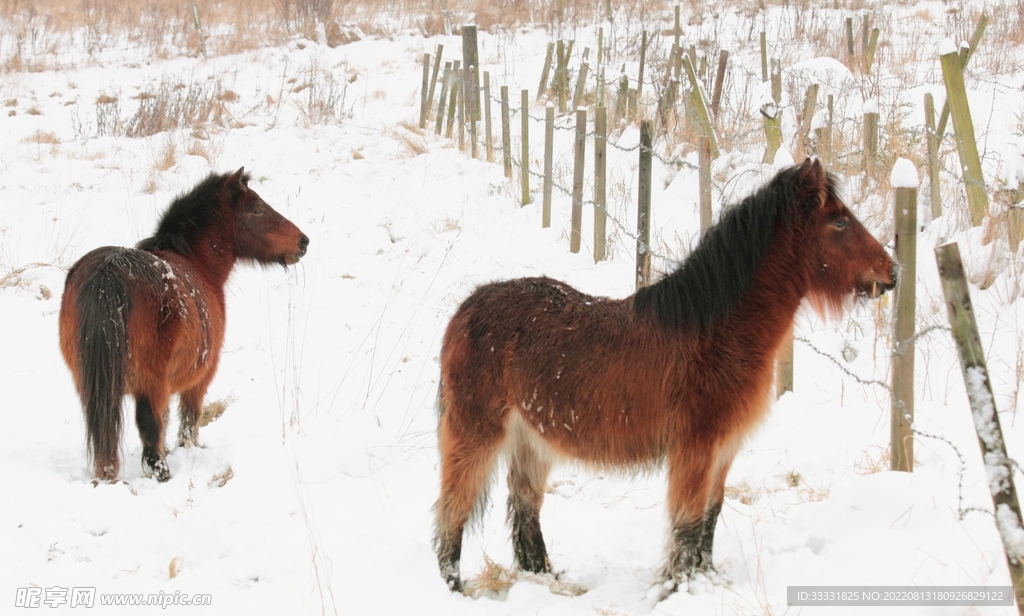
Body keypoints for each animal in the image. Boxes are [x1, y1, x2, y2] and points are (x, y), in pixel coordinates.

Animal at [59, 168, 308, 483]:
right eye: (257, 209)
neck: (197, 263)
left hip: (90, 384)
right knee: (148, 427)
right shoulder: (199, 377)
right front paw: (188, 448)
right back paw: (161, 473)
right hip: (149, 383)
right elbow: (186, 419)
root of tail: (108, 272)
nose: (303, 241)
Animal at [432, 158, 896, 598]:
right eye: (839, 222)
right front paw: (678, 588)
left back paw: (547, 579)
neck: (716, 331)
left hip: (531, 440)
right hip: (477, 434)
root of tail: (466, 309)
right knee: (453, 507)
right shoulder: (696, 448)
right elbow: (687, 523)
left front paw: (704, 580)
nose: (892, 272)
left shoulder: (723, 451)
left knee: (525, 509)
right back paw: (454, 586)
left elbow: (711, 517)